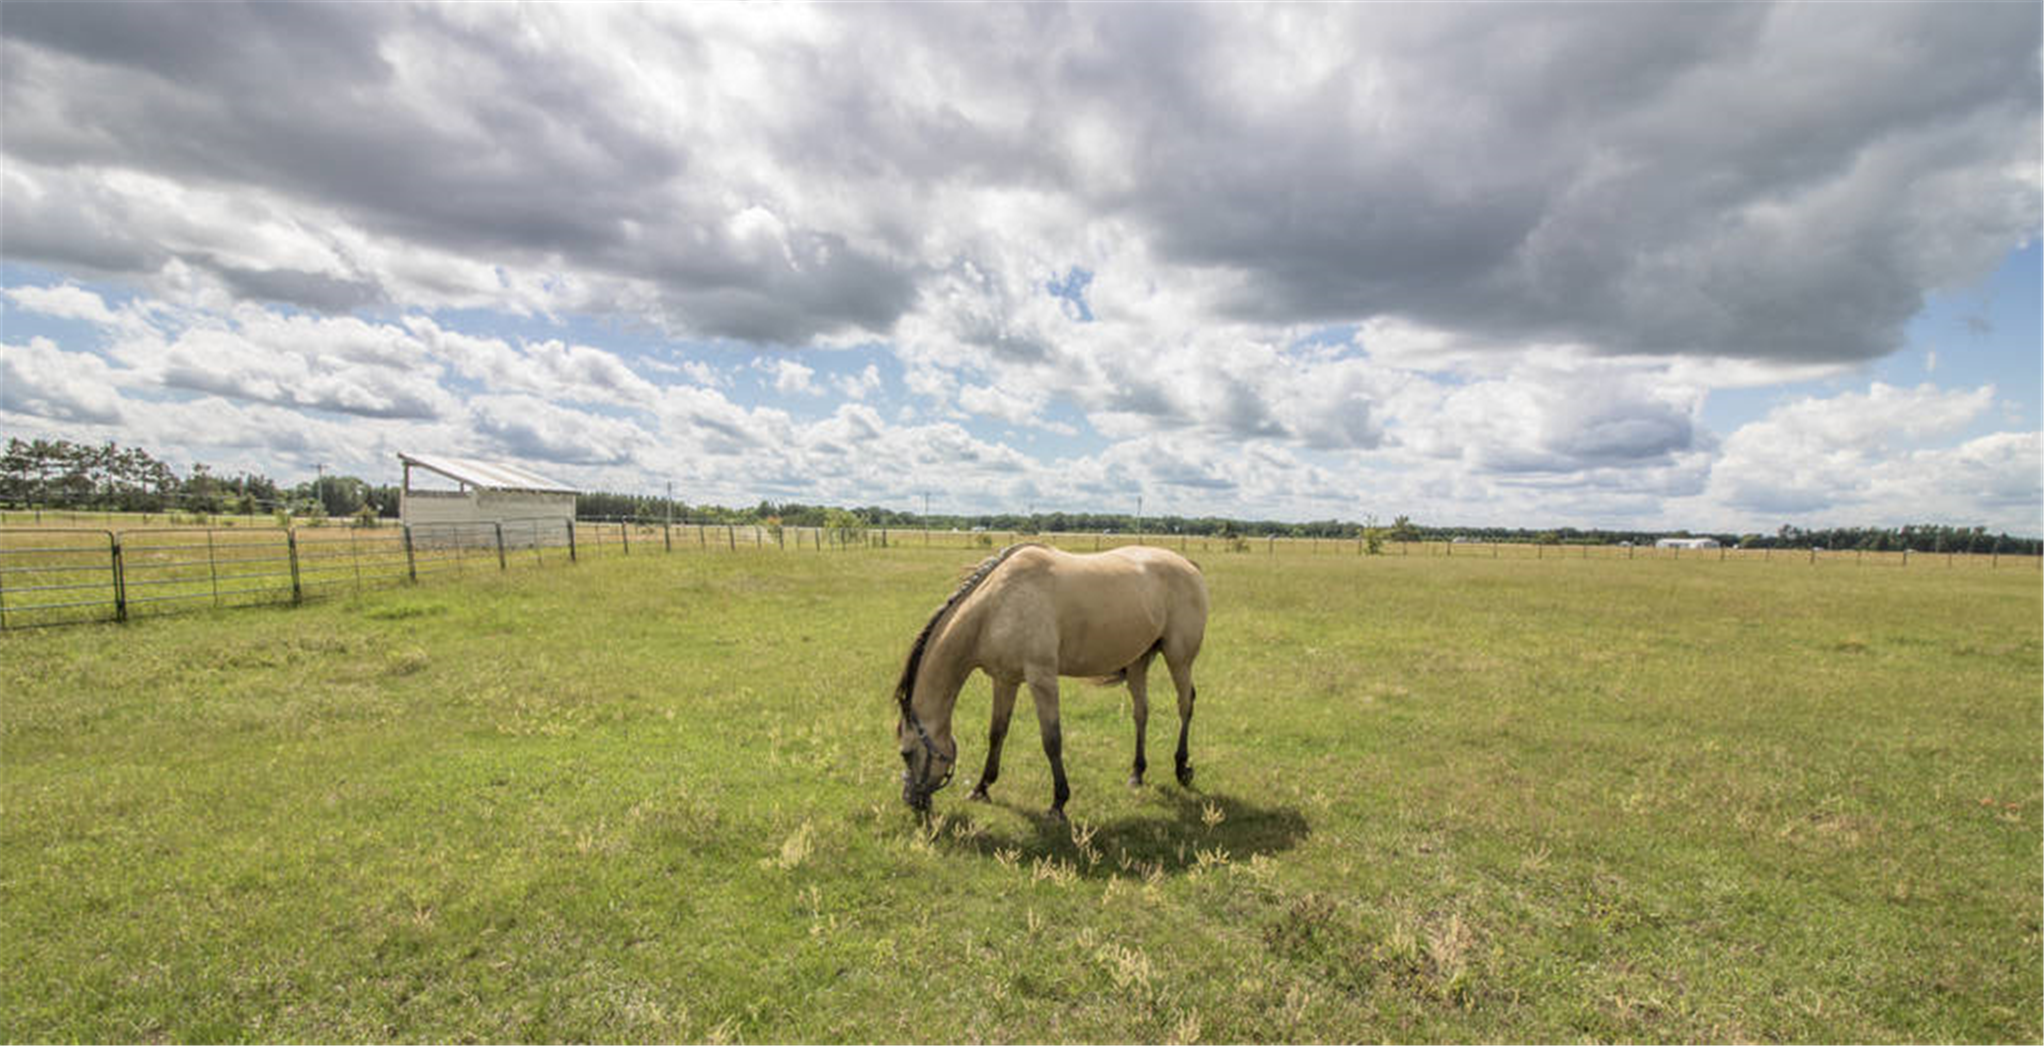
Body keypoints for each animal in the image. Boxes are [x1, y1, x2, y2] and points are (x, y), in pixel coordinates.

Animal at [899, 543, 1210, 821]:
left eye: (906, 753)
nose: (912, 802)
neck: (998, 605)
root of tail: (1188, 564)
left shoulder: (1042, 678)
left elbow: (1052, 739)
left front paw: (1058, 803)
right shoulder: (1005, 680)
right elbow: (997, 732)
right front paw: (982, 788)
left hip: (1179, 659)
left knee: (1185, 704)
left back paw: (1182, 768)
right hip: (1137, 662)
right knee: (1141, 712)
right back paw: (1136, 773)